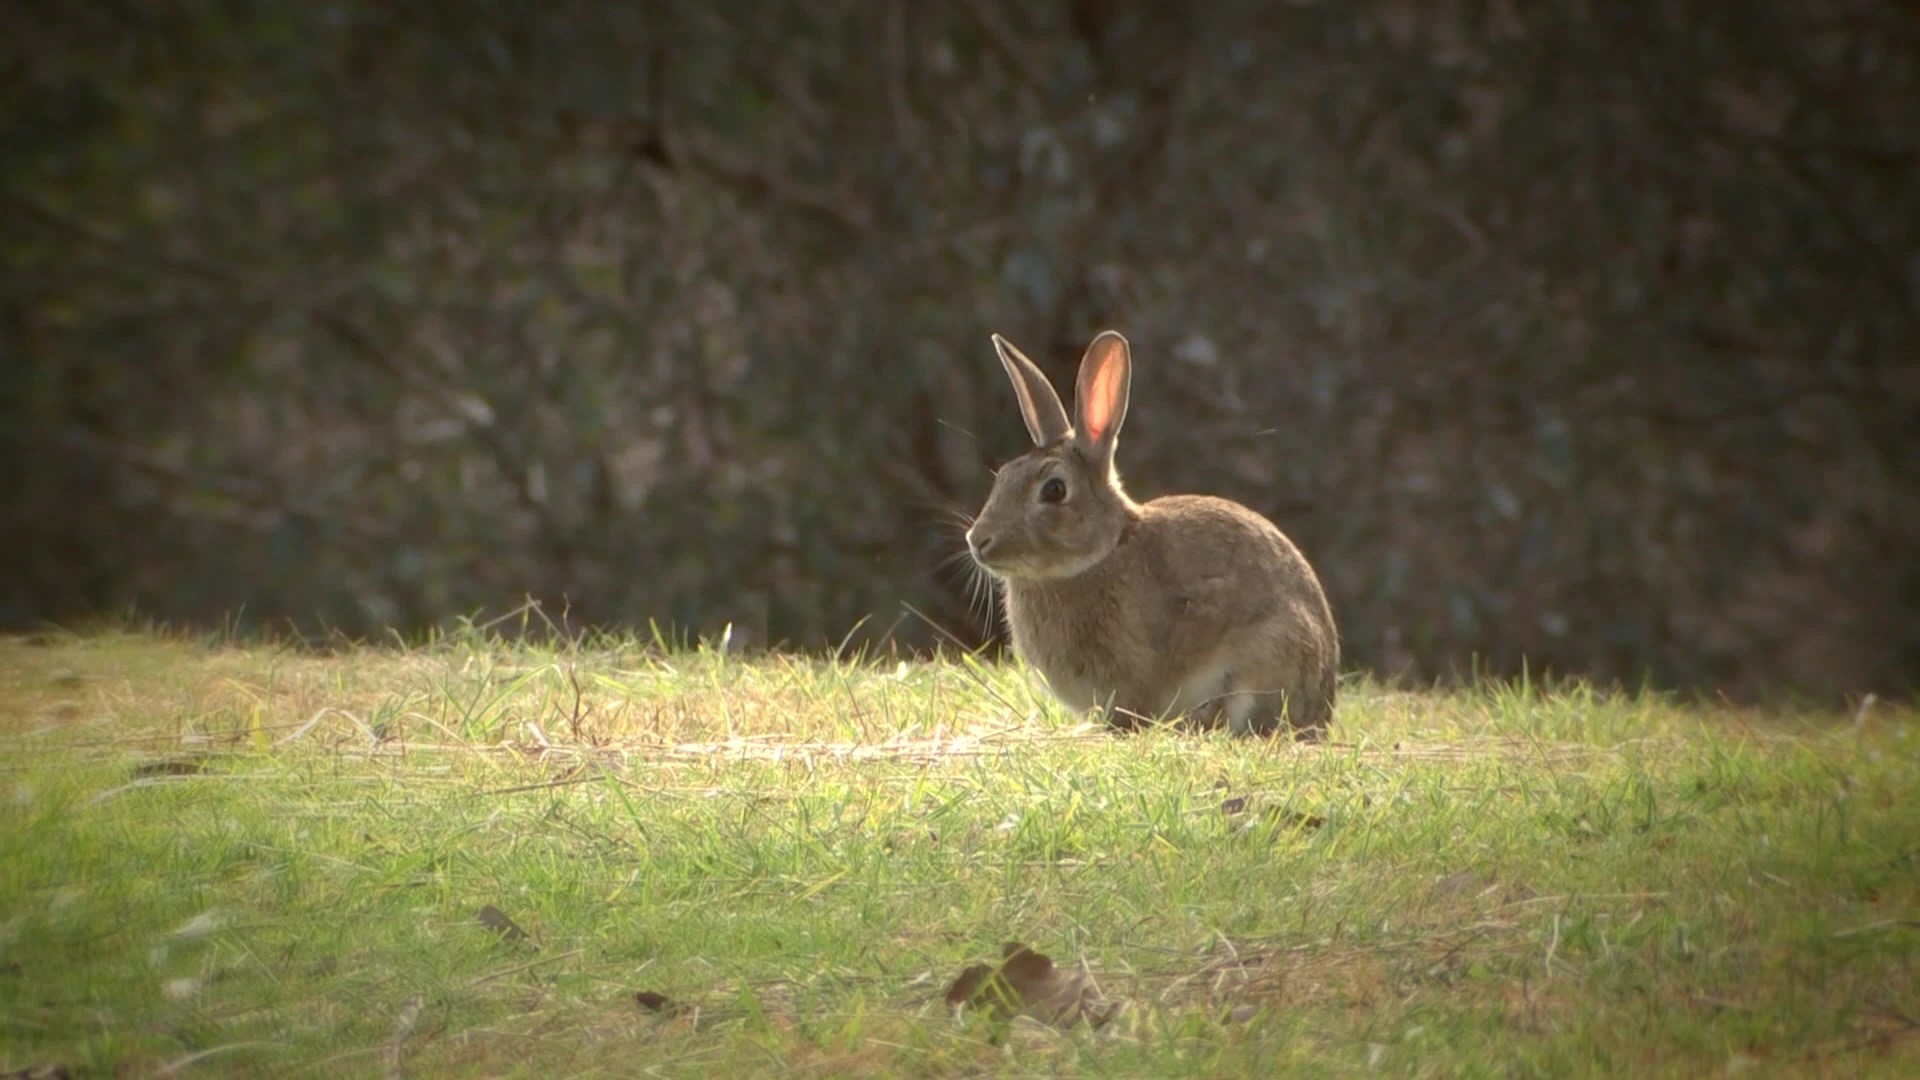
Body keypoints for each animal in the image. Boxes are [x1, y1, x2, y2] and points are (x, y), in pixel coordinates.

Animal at [965, 329, 1339, 739]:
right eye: (1003, 475)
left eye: (1054, 490)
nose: (978, 541)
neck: (1101, 554)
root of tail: (1323, 708)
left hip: (1268, 655)